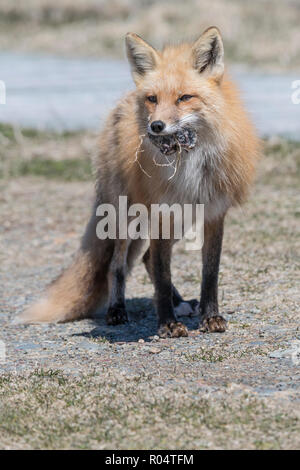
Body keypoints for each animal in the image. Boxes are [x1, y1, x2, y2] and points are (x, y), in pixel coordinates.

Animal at [17, 27, 258, 338]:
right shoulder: (161, 213)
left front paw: (210, 317)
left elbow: (210, 273)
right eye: (153, 99)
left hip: (180, 218)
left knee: (144, 259)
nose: (156, 126)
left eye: (184, 97)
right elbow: (162, 273)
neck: (188, 161)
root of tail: (122, 101)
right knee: (117, 264)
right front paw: (167, 323)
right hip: (125, 215)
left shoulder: (214, 212)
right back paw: (117, 310)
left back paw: (180, 304)